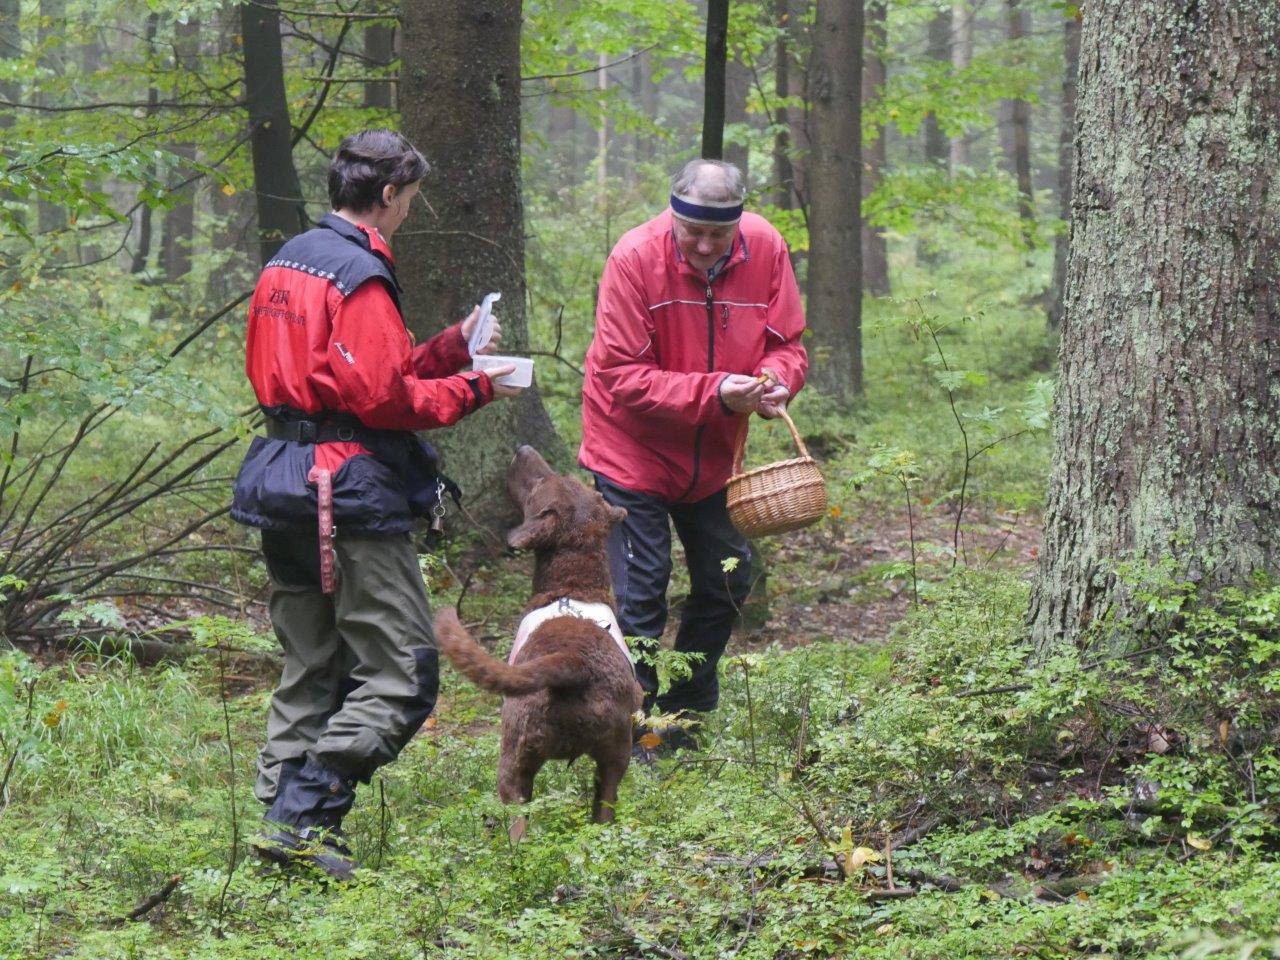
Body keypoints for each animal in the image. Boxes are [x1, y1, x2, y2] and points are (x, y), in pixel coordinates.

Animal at [435, 448, 645, 839]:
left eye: (539, 484)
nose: (523, 450)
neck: (572, 586)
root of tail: (573, 662)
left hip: (513, 757)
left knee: (518, 821)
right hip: (615, 754)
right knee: (605, 805)